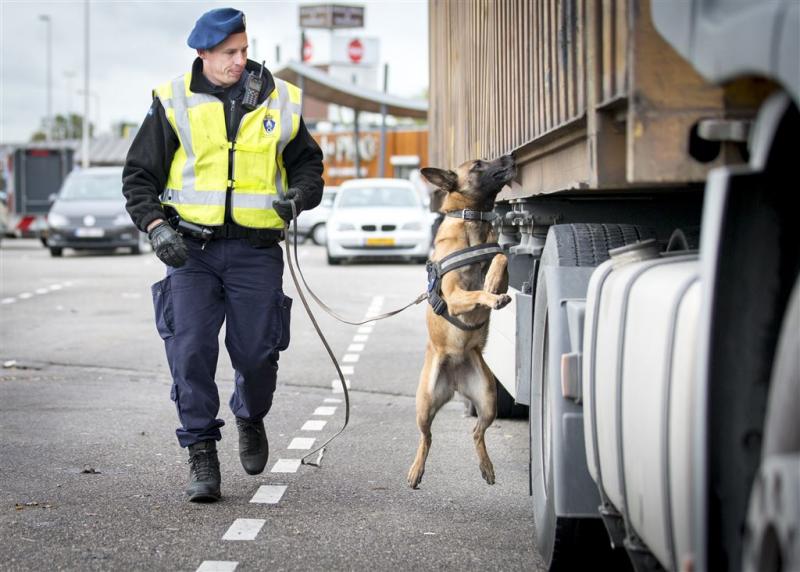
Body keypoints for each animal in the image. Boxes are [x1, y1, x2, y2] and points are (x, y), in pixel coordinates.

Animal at [410, 154, 516, 490]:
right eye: (478, 165)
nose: (510, 156)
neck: (473, 222)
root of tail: (455, 378)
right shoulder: (456, 296)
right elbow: (477, 293)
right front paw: (491, 296)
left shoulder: (500, 263)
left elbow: (501, 257)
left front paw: (493, 281)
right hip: (425, 403)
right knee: (426, 437)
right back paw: (415, 471)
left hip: (488, 399)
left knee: (477, 432)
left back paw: (487, 467)